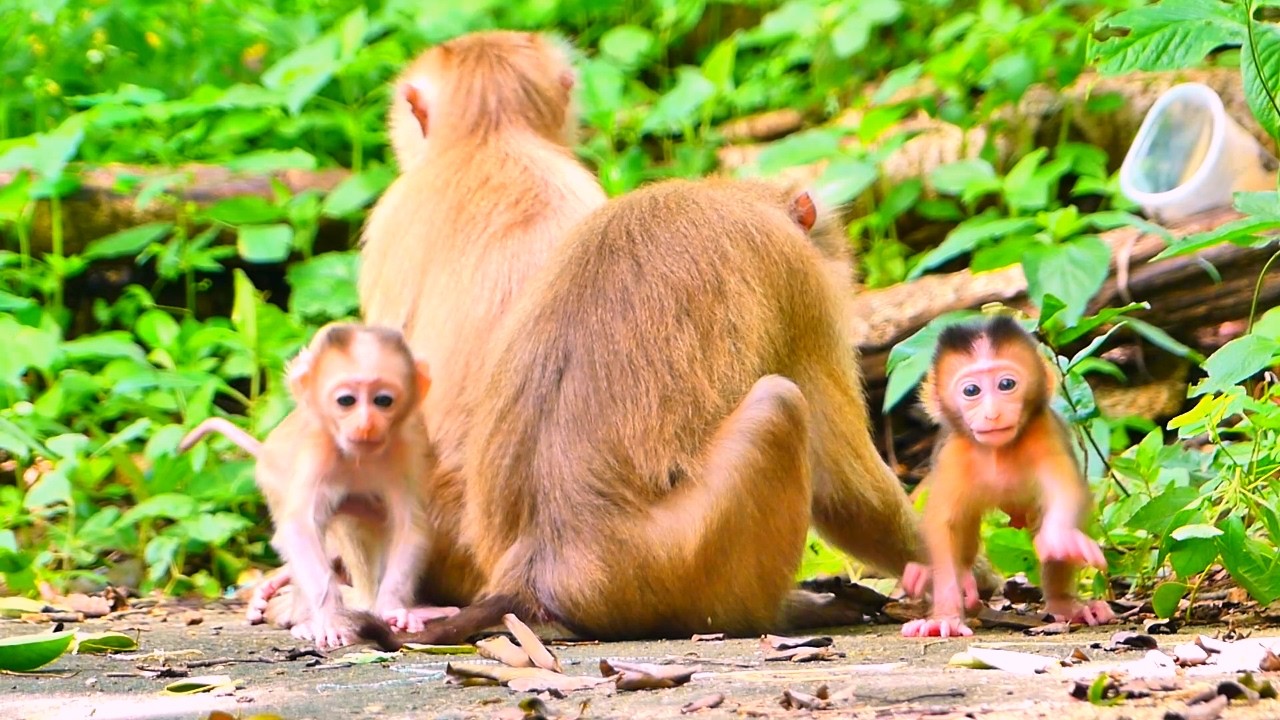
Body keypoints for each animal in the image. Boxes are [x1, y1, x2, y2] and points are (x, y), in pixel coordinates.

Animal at [179, 323, 456, 649]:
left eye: (383, 400)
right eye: (346, 401)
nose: (366, 425)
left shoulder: (407, 449)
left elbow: (409, 526)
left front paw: (392, 609)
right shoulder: (317, 450)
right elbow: (300, 528)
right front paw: (329, 618)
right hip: (273, 479)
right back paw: (304, 618)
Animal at [350, 176, 929, 649]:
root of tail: (537, 570)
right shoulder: (800, 283)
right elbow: (847, 490)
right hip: (672, 563)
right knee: (779, 406)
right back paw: (779, 614)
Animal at [899, 315, 1114, 638]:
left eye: (1006, 384)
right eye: (971, 391)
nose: (992, 414)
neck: (998, 452)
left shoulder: (1043, 431)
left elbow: (1065, 494)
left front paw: (1061, 538)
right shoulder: (954, 454)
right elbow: (944, 526)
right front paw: (945, 617)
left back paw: (1066, 606)